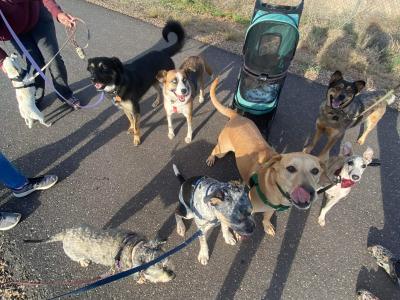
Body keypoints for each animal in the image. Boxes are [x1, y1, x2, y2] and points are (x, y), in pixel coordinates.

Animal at [25, 225, 175, 284]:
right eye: (158, 272)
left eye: (167, 263)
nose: (173, 276)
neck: (134, 247)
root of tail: (65, 234)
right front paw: (141, 279)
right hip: (74, 254)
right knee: (78, 259)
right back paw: (84, 261)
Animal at [205, 77, 324, 237]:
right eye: (291, 168)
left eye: (315, 171)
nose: (309, 192)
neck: (275, 189)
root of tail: (237, 116)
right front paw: (237, 233)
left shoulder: (271, 209)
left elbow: (267, 216)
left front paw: (267, 225)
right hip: (222, 149)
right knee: (215, 149)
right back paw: (211, 158)